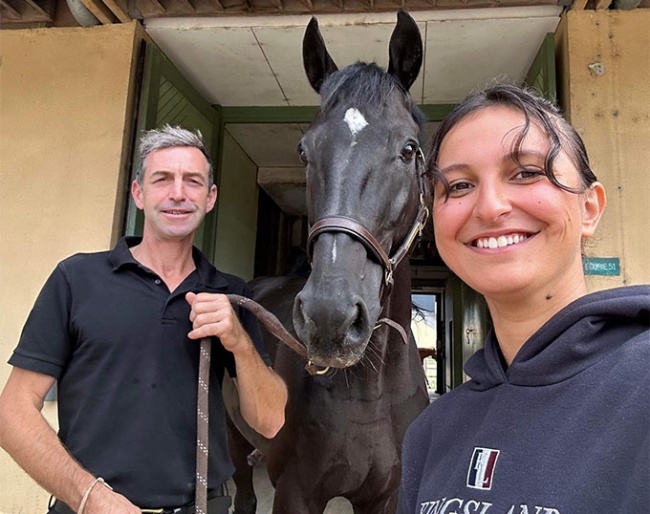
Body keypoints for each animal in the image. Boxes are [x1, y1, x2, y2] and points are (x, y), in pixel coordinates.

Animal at [224, 12, 430, 512]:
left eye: (408, 149)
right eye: (305, 150)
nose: (329, 317)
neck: (369, 391)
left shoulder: (386, 496)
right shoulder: (296, 493)